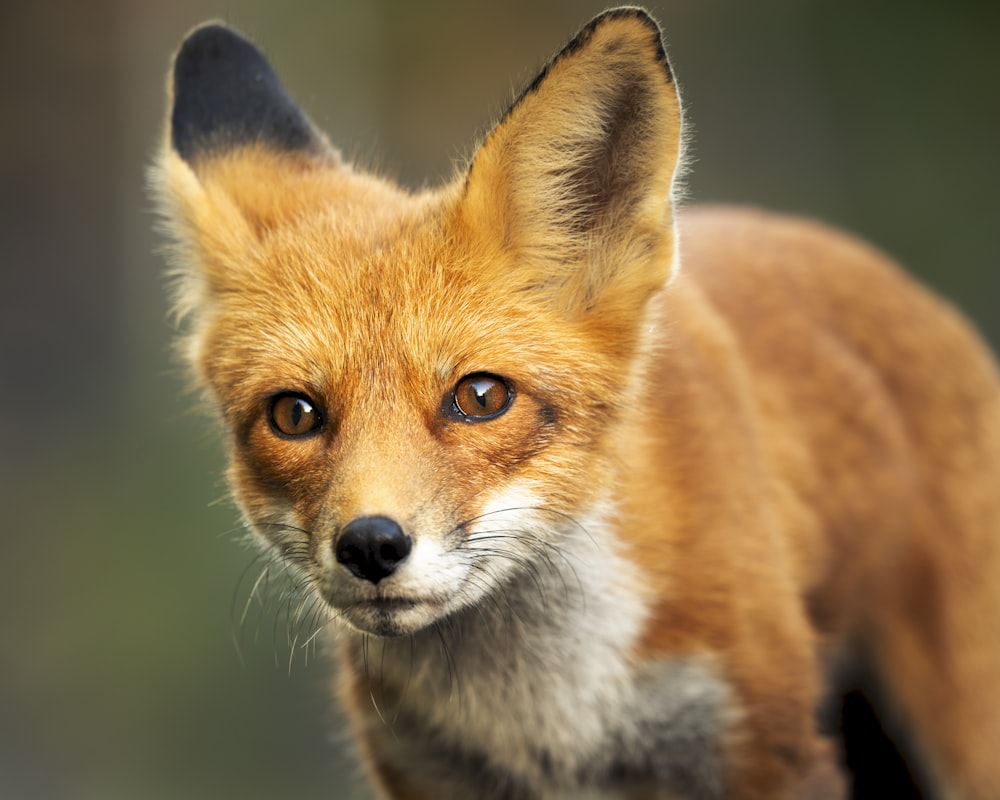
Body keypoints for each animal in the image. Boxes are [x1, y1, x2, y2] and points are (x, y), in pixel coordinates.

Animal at [150, 7, 1000, 800]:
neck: (549, 722)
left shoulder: (765, 748)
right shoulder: (427, 772)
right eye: (294, 415)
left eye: (481, 396)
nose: (370, 546)